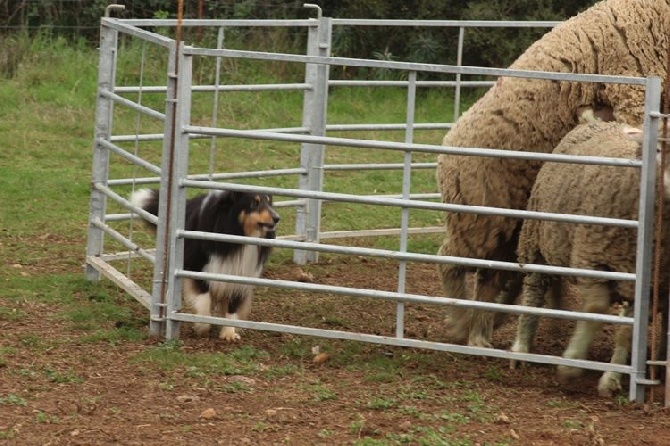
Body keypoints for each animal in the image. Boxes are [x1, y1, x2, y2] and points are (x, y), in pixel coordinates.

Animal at [436, 0, 670, 348]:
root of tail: (447, 145)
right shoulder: (630, 92)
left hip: (511, 225)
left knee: (492, 276)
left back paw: (482, 332)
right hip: (479, 219)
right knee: (451, 262)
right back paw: (461, 324)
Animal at [510, 120, 670, 396]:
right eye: (658, 149)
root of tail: (595, 122)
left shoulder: (647, 283)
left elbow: (627, 331)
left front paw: (611, 378)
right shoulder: (592, 259)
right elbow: (595, 309)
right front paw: (570, 365)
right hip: (537, 238)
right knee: (533, 291)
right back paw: (521, 348)